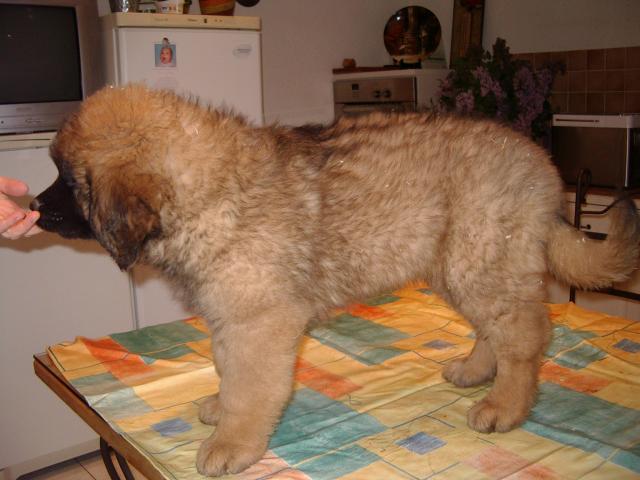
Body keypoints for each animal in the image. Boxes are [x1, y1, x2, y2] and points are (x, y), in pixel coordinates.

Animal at [31, 84, 640, 477]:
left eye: (67, 180)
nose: (34, 208)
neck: (212, 190)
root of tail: (544, 165)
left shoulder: (260, 320)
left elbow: (251, 386)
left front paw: (232, 443)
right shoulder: (232, 314)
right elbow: (228, 369)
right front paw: (220, 409)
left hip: (480, 257)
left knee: (524, 335)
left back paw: (504, 407)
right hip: (459, 264)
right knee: (499, 328)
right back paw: (474, 371)